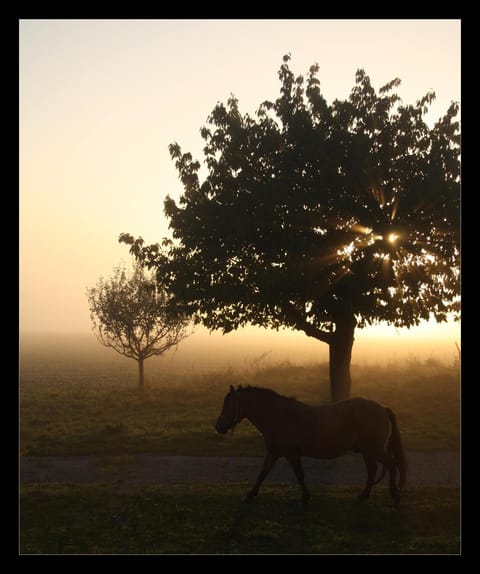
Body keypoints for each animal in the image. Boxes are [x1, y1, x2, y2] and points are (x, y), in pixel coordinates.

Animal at [216, 388, 406, 508]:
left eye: (228, 405)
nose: (218, 427)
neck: (279, 416)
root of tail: (382, 408)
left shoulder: (291, 454)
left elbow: (299, 475)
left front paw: (305, 498)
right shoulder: (274, 452)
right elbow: (262, 474)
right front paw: (250, 495)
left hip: (374, 449)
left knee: (391, 464)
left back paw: (395, 496)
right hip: (368, 451)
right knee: (373, 470)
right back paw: (364, 495)